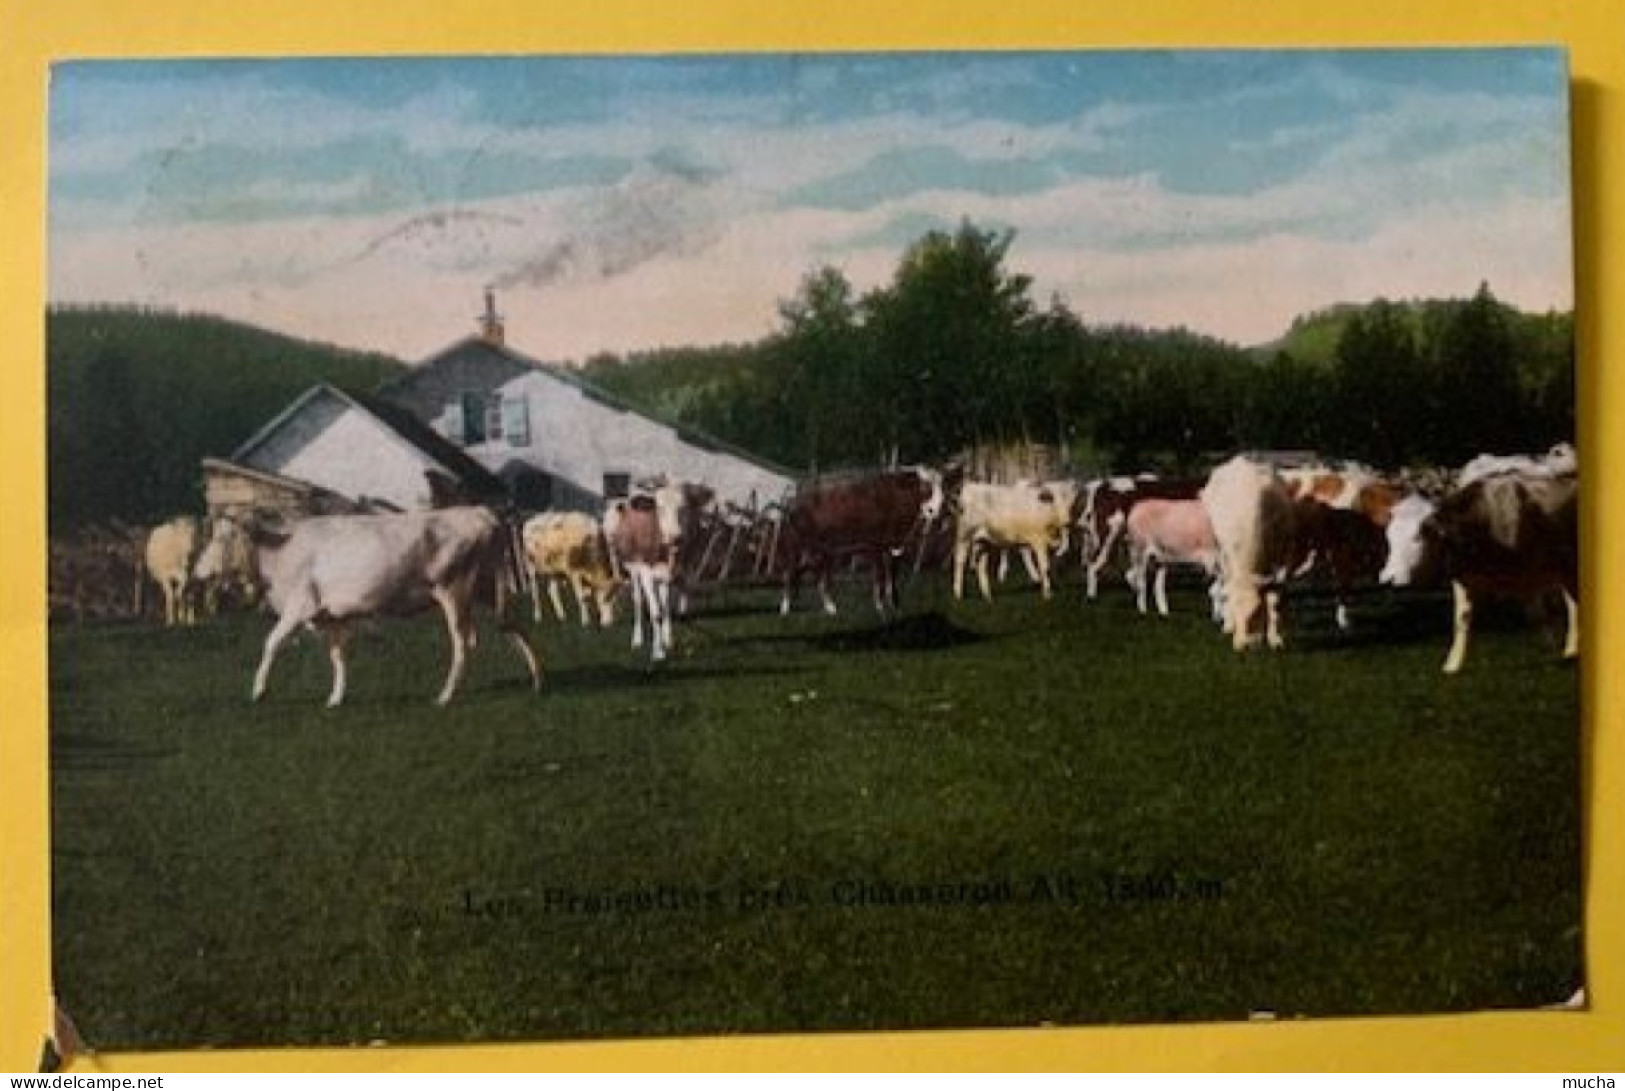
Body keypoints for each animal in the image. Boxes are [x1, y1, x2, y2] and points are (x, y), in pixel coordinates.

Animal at [196, 507, 539, 708]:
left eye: (223, 538)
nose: (198, 571)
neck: (279, 551)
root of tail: (480, 513)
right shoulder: (330, 616)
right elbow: (337, 656)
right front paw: (336, 697)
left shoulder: (300, 605)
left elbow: (271, 643)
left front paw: (259, 691)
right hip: (485, 588)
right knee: (513, 625)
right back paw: (537, 680)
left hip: (454, 590)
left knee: (463, 643)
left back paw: (445, 695)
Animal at [1378, 471, 1579, 673]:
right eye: (1389, 536)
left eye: (1418, 537)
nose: (1388, 578)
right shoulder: (1463, 580)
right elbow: (1461, 619)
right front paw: (1452, 665)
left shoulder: (1530, 576)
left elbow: (1540, 616)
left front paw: (1553, 652)